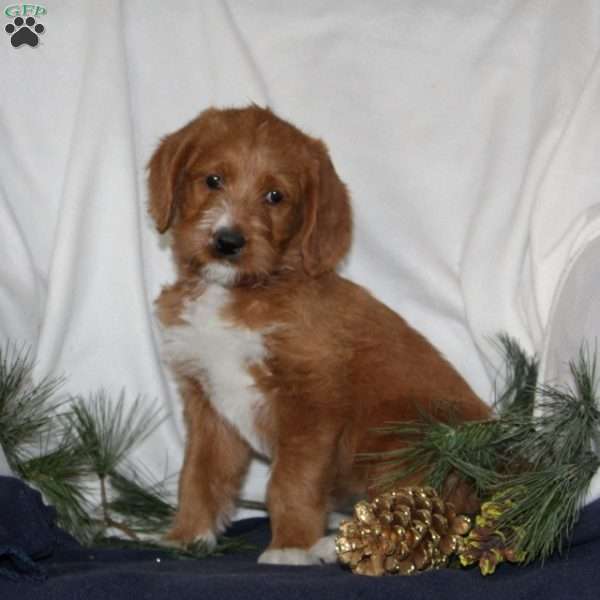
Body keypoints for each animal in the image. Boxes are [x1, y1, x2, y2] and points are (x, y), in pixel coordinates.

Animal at [148, 105, 490, 564]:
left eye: (275, 196)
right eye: (213, 180)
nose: (227, 241)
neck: (240, 292)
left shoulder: (310, 405)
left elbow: (290, 482)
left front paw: (291, 546)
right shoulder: (208, 405)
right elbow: (199, 474)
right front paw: (188, 535)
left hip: (400, 436)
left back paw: (338, 541)